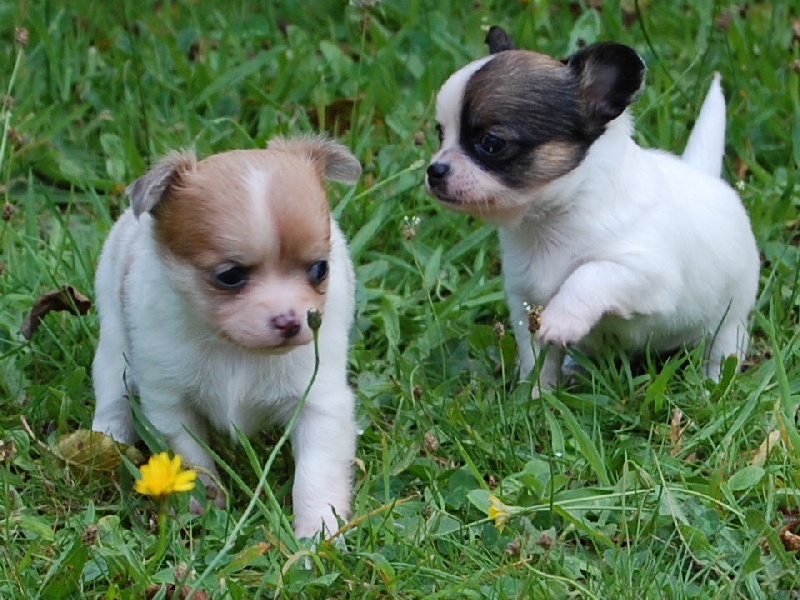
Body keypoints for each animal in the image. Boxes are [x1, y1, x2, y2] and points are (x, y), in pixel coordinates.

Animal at [90, 136, 360, 540]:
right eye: (230, 276)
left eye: (319, 270)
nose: (288, 321)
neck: (235, 349)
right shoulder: (170, 403)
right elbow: (189, 455)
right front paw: (202, 503)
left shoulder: (319, 401)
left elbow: (316, 471)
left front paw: (318, 533)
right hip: (113, 345)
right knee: (112, 396)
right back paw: (103, 443)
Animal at [424, 27, 756, 394]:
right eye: (440, 133)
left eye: (491, 143)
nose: (434, 171)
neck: (551, 222)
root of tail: (704, 174)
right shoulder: (525, 304)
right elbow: (536, 360)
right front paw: (536, 397)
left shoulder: (646, 273)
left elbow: (589, 274)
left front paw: (561, 319)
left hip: (731, 318)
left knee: (722, 350)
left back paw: (713, 387)